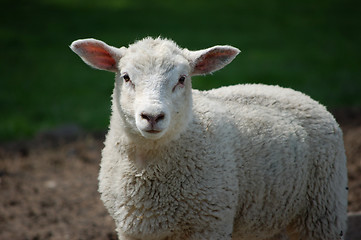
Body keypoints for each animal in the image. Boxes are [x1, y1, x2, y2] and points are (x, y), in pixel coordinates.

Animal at [69, 37, 348, 240]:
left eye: (182, 79)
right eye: (126, 77)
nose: (152, 116)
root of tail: (293, 91)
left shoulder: (209, 224)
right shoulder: (133, 230)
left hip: (323, 211)